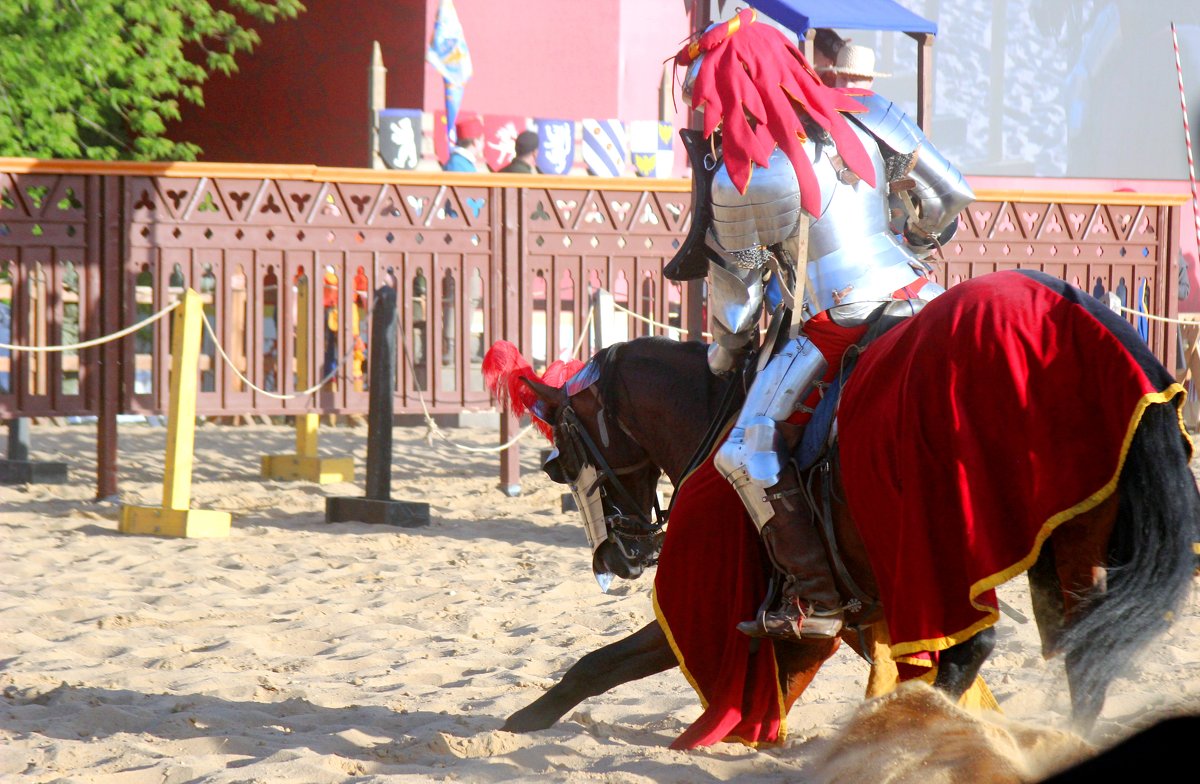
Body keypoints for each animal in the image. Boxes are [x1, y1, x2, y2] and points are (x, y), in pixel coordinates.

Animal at [482, 268, 1195, 744]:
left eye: (558, 462)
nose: (616, 557)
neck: (720, 413)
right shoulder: (859, 612)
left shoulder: (717, 596)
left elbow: (599, 662)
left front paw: (525, 718)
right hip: (1071, 546)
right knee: (1083, 654)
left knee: (976, 650)